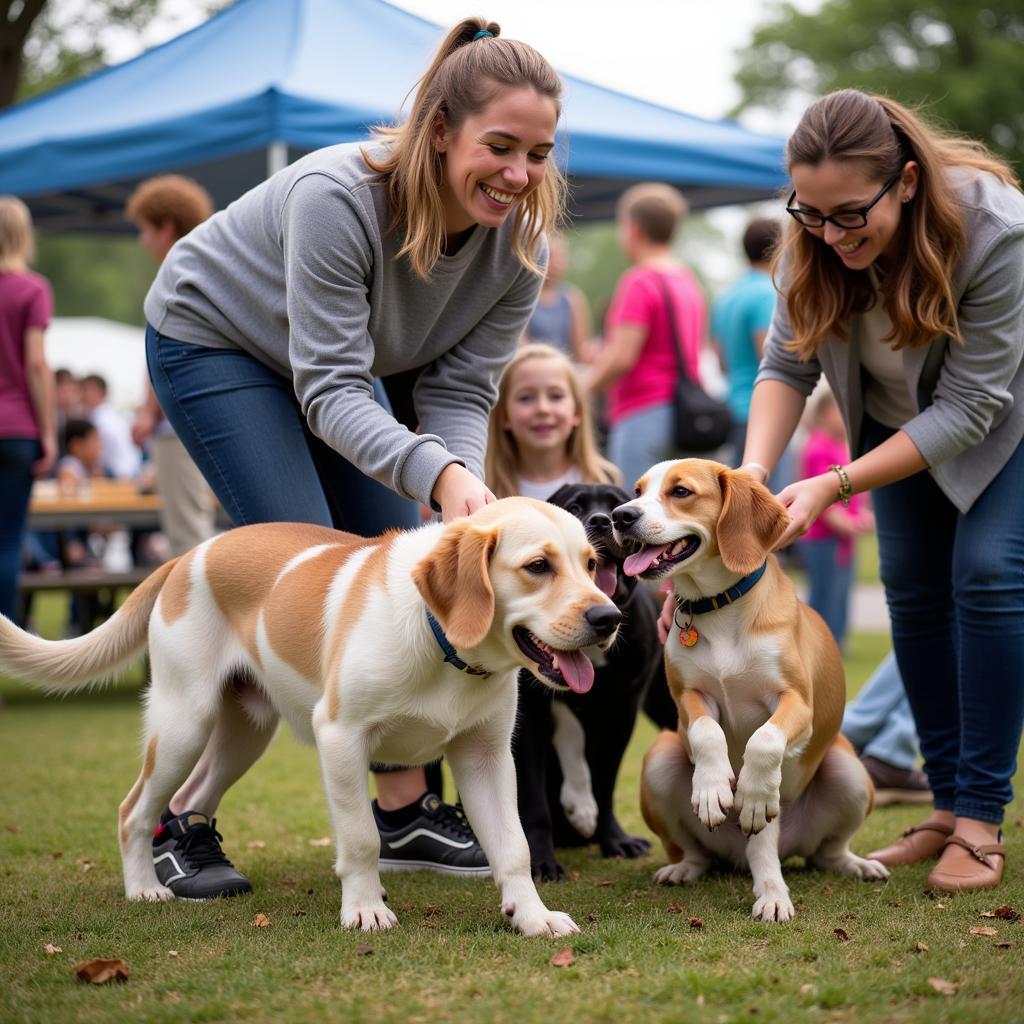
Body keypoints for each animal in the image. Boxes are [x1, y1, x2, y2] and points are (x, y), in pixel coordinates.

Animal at [2, 495, 622, 937]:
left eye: (592, 564)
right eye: (537, 566)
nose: (609, 617)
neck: (441, 638)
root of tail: (190, 554)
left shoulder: (486, 756)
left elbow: (514, 847)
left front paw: (532, 915)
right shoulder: (341, 738)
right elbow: (362, 838)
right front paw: (365, 910)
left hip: (244, 733)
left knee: (190, 797)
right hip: (184, 723)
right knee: (134, 809)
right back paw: (143, 888)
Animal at [610, 460, 892, 925]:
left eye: (680, 491)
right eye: (637, 491)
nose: (620, 516)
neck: (720, 607)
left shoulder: (797, 703)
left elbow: (764, 739)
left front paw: (754, 792)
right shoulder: (689, 699)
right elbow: (707, 732)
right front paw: (712, 788)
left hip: (848, 771)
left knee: (822, 852)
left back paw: (836, 868)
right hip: (660, 762)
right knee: (696, 851)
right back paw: (690, 867)